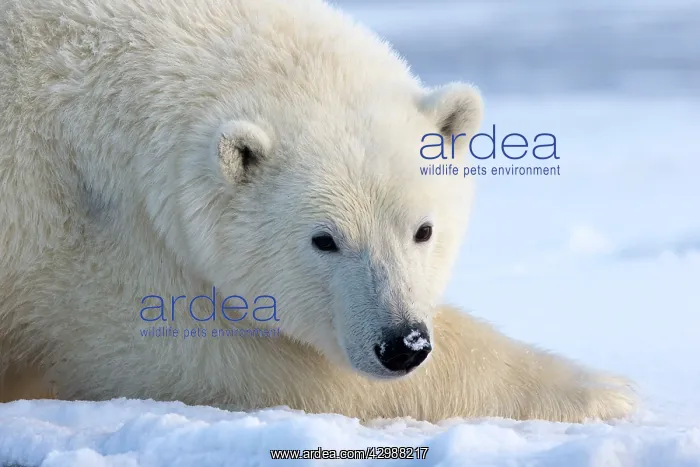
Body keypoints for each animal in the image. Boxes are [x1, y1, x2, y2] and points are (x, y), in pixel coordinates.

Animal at [0, 0, 635, 422]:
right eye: (324, 239)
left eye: (423, 229)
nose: (402, 344)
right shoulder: (88, 243)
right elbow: (238, 364)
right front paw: (601, 390)